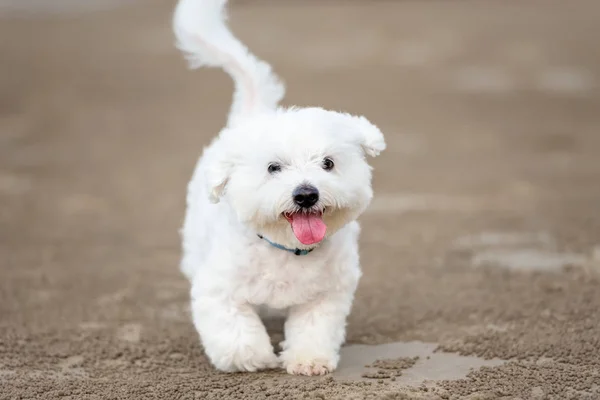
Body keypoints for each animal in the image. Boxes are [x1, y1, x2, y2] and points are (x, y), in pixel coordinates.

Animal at [171, 0, 386, 376]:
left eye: (328, 163)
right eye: (273, 168)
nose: (306, 194)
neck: (287, 250)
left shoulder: (326, 295)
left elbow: (314, 327)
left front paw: (308, 359)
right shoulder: (219, 289)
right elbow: (235, 330)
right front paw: (252, 358)